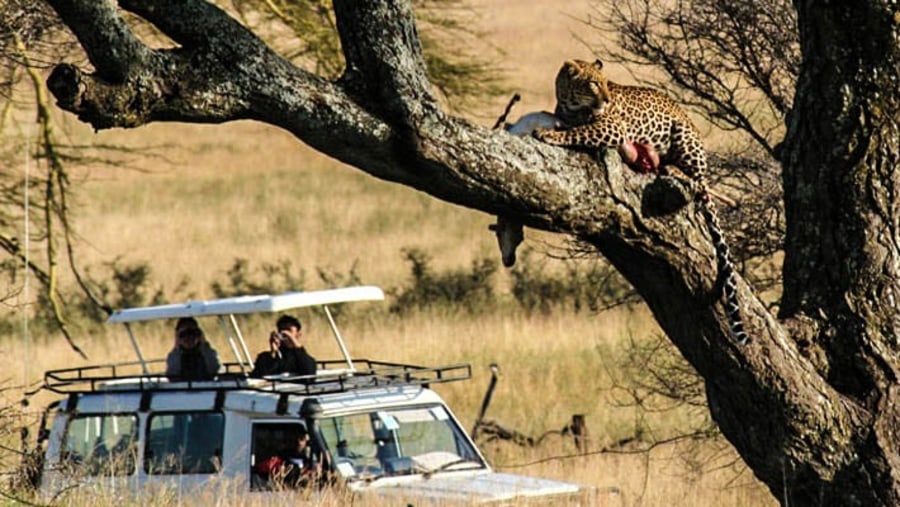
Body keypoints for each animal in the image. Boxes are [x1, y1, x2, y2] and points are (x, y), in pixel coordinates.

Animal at [536, 58, 752, 346]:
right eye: (593, 83)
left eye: (606, 83)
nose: (606, 99)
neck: (572, 106)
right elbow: (573, 127)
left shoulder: (611, 127)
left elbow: (578, 132)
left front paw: (548, 134)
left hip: (683, 136)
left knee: (699, 181)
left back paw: (676, 170)